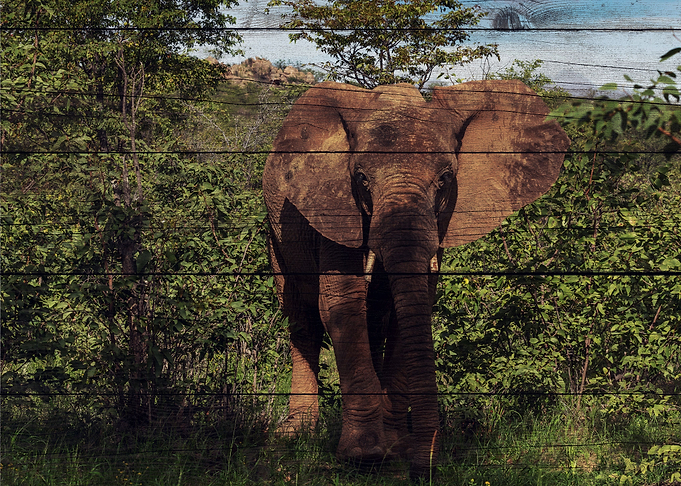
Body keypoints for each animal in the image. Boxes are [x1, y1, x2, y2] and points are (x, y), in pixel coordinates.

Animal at [263, 80, 569, 478]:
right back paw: (295, 434)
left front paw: (397, 448)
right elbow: (341, 304)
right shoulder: (335, 207)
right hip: (276, 231)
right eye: (361, 179)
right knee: (302, 314)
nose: (425, 471)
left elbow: (409, 309)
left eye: (445, 179)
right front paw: (365, 456)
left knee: (375, 319)